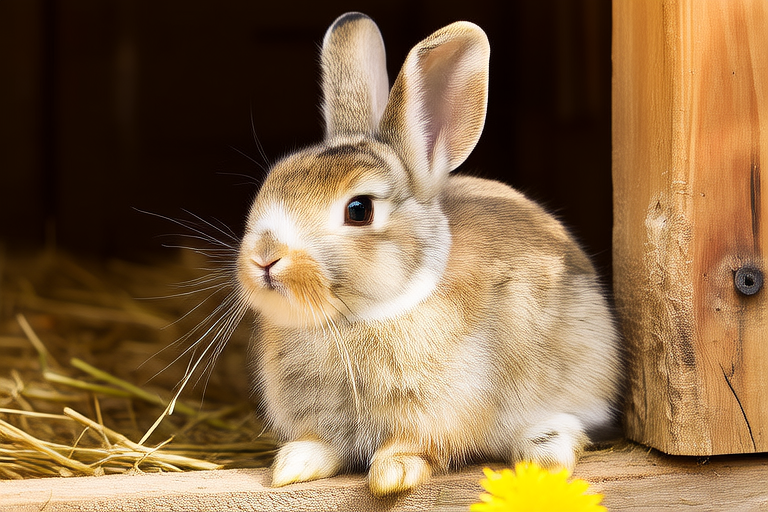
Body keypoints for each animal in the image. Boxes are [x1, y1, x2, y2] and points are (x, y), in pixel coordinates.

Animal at [236, 12, 622, 497]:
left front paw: (392, 475)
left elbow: (414, 444)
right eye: (273, 181)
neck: (362, 316)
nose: (265, 258)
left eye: (359, 210)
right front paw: (292, 466)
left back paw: (545, 454)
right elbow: (324, 444)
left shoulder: (440, 410)